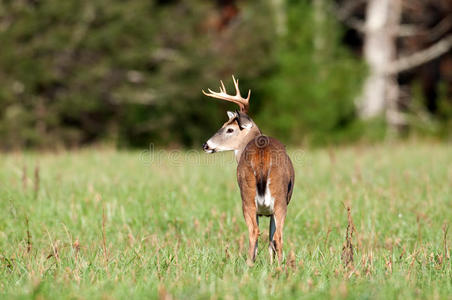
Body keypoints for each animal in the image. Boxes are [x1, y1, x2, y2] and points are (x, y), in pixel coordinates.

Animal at [202, 76, 294, 264]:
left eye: (229, 129)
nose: (206, 145)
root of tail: (262, 155)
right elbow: (270, 238)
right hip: (276, 199)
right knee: (274, 235)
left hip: (249, 197)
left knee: (259, 233)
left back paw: (251, 264)